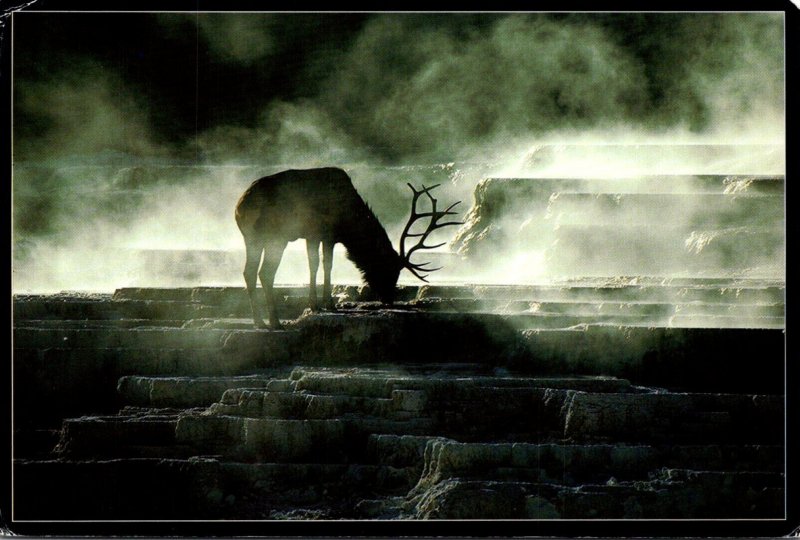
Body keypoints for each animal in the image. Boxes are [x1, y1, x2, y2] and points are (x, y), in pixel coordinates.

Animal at [234, 168, 460, 330]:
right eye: (389, 269)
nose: (389, 299)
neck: (348, 222)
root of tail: (240, 208)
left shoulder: (317, 236)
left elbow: (319, 264)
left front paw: (321, 303)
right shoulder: (322, 233)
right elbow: (323, 264)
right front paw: (324, 303)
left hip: (251, 238)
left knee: (249, 272)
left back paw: (259, 322)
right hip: (276, 235)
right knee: (265, 272)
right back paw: (274, 322)